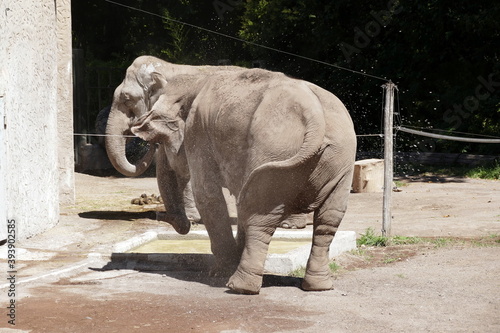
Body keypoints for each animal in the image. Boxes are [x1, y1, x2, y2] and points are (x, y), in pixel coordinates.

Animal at [127, 57, 358, 294]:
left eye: (160, 140)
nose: (160, 216)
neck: (195, 79)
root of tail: (315, 115)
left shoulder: (197, 133)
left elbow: (208, 196)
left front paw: (220, 271)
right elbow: (239, 200)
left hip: (275, 149)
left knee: (261, 216)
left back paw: (239, 287)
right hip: (339, 158)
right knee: (328, 220)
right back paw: (319, 286)